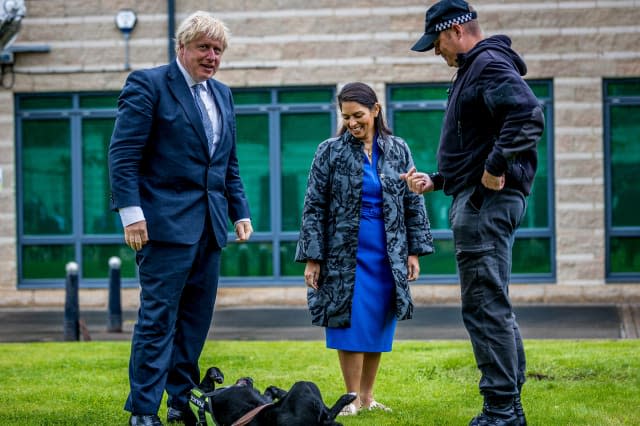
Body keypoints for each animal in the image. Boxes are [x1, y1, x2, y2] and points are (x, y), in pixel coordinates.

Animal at [192, 366, 358, 426]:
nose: (249, 378)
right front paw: (215, 374)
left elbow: (271, 390)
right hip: (302, 385)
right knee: (329, 413)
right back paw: (349, 396)